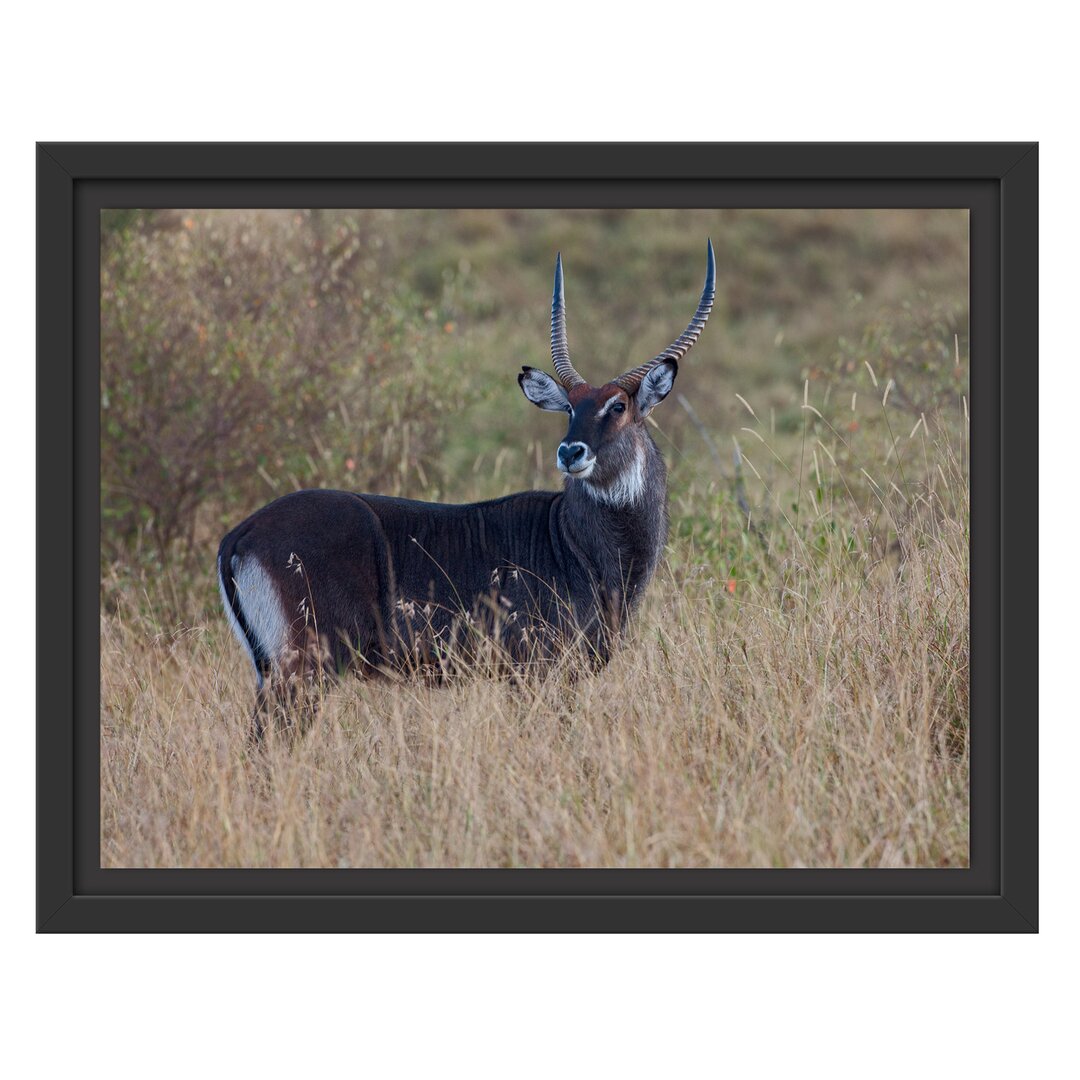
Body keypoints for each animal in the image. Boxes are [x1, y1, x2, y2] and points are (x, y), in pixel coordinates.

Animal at [214, 241, 712, 738]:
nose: (571, 452)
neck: (576, 543)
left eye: (619, 406)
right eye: (570, 407)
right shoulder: (537, 670)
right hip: (306, 666)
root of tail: (240, 534)